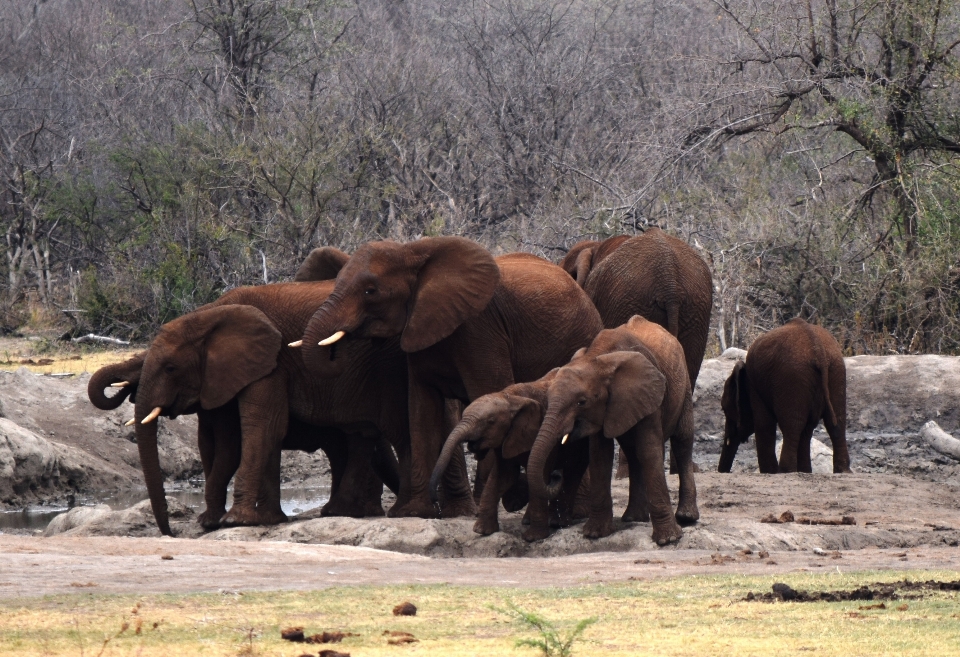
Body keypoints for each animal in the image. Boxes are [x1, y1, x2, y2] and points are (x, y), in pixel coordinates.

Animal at [300, 236, 604, 516]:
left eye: (370, 291)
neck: (411, 251)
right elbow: (421, 410)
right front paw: (416, 512)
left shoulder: (480, 327)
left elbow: (489, 392)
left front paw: (487, 504)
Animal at [430, 372, 592, 540]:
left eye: (491, 421)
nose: (434, 500)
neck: (510, 397)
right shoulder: (505, 437)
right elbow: (503, 476)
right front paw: (482, 531)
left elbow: (539, 474)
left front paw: (533, 538)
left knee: (573, 471)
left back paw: (556, 522)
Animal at [524, 316, 696, 544]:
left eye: (581, 402)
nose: (555, 475)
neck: (596, 358)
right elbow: (600, 455)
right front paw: (595, 534)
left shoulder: (647, 393)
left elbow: (649, 451)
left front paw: (668, 540)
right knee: (633, 452)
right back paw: (634, 518)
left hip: (684, 385)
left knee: (682, 441)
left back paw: (686, 517)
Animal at [716, 316, 852, 472]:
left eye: (725, 409)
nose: (723, 472)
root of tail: (818, 350)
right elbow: (807, 428)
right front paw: (804, 471)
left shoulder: (755, 388)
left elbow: (764, 424)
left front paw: (771, 472)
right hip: (836, 370)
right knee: (835, 423)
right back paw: (842, 471)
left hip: (793, 375)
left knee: (792, 426)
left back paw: (786, 470)